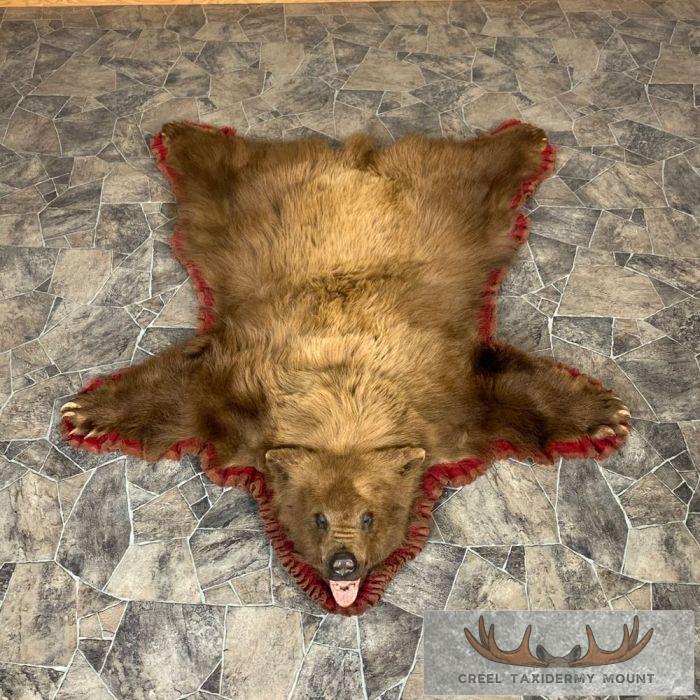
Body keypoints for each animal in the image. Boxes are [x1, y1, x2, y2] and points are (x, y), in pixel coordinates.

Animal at [61, 122, 630, 608]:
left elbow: (508, 384)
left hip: (453, 201)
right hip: (244, 199)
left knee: (477, 167)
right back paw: (180, 135)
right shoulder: (244, 389)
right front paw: (86, 413)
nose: (342, 564)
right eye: (317, 517)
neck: (344, 409)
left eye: (369, 516)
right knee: (221, 165)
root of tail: (356, 160)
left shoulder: (447, 390)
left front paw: (605, 415)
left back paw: (525, 138)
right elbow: (181, 388)